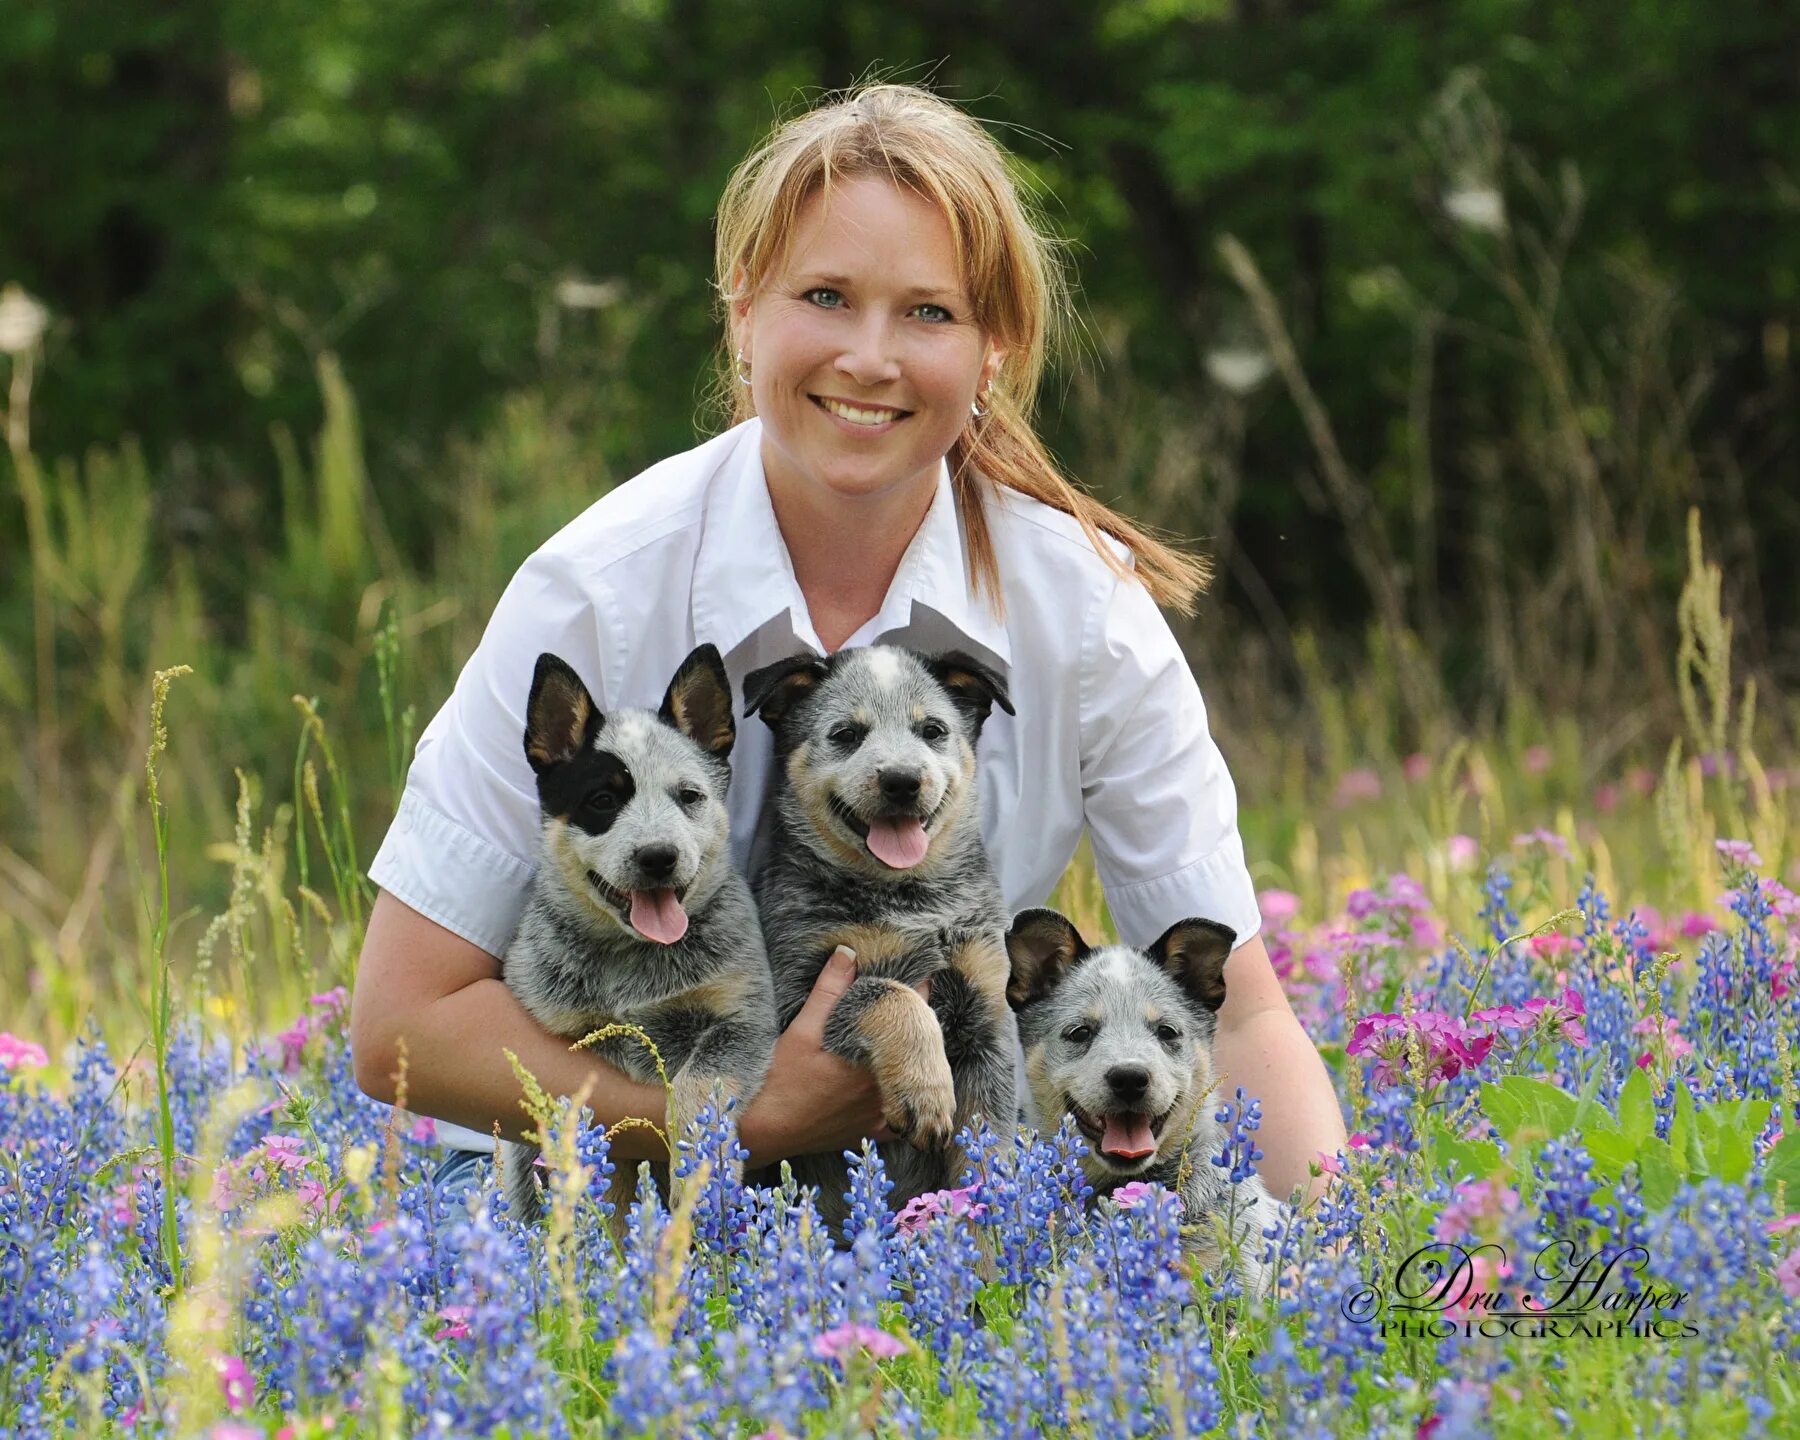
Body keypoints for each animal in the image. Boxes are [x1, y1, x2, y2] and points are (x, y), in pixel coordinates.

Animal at [496, 648, 777, 1224]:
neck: (635, 959)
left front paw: (699, 1175)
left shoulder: (743, 1017)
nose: (658, 857)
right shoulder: (564, 1031)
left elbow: (699, 1086)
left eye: (689, 795)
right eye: (603, 799)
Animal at [741, 648, 1022, 1231]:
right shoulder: (794, 997)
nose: (901, 780)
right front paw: (925, 1089)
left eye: (933, 730)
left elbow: (983, 1160)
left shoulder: (987, 1017)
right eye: (846, 734)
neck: (907, 901)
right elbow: (887, 993)